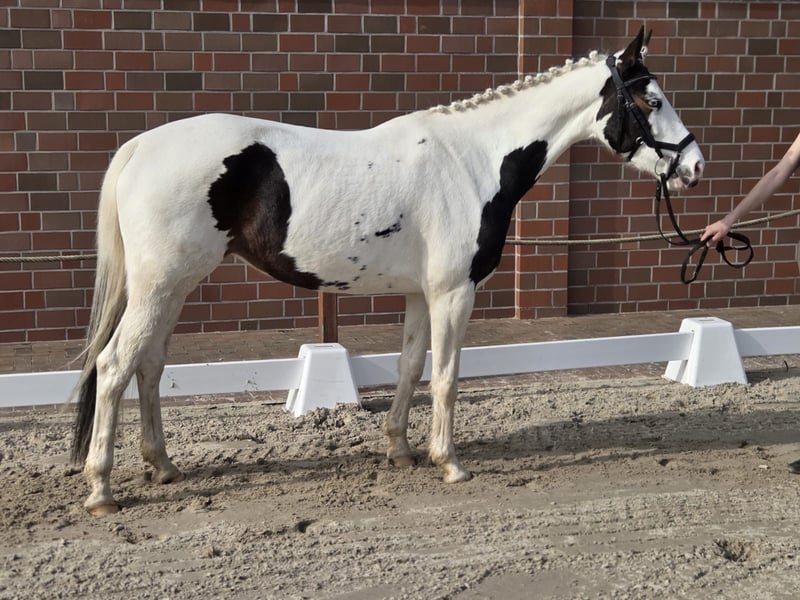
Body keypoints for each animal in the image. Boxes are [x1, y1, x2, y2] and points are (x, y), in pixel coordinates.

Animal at [71, 28, 704, 515]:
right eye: (651, 101)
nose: (695, 166)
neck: (472, 162)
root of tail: (139, 147)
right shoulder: (454, 293)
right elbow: (447, 377)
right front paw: (450, 463)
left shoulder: (422, 295)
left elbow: (410, 367)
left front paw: (400, 449)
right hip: (159, 287)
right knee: (114, 365)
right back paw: (101, 489)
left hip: (171, 287)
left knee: (149, 366)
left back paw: (162, 466)